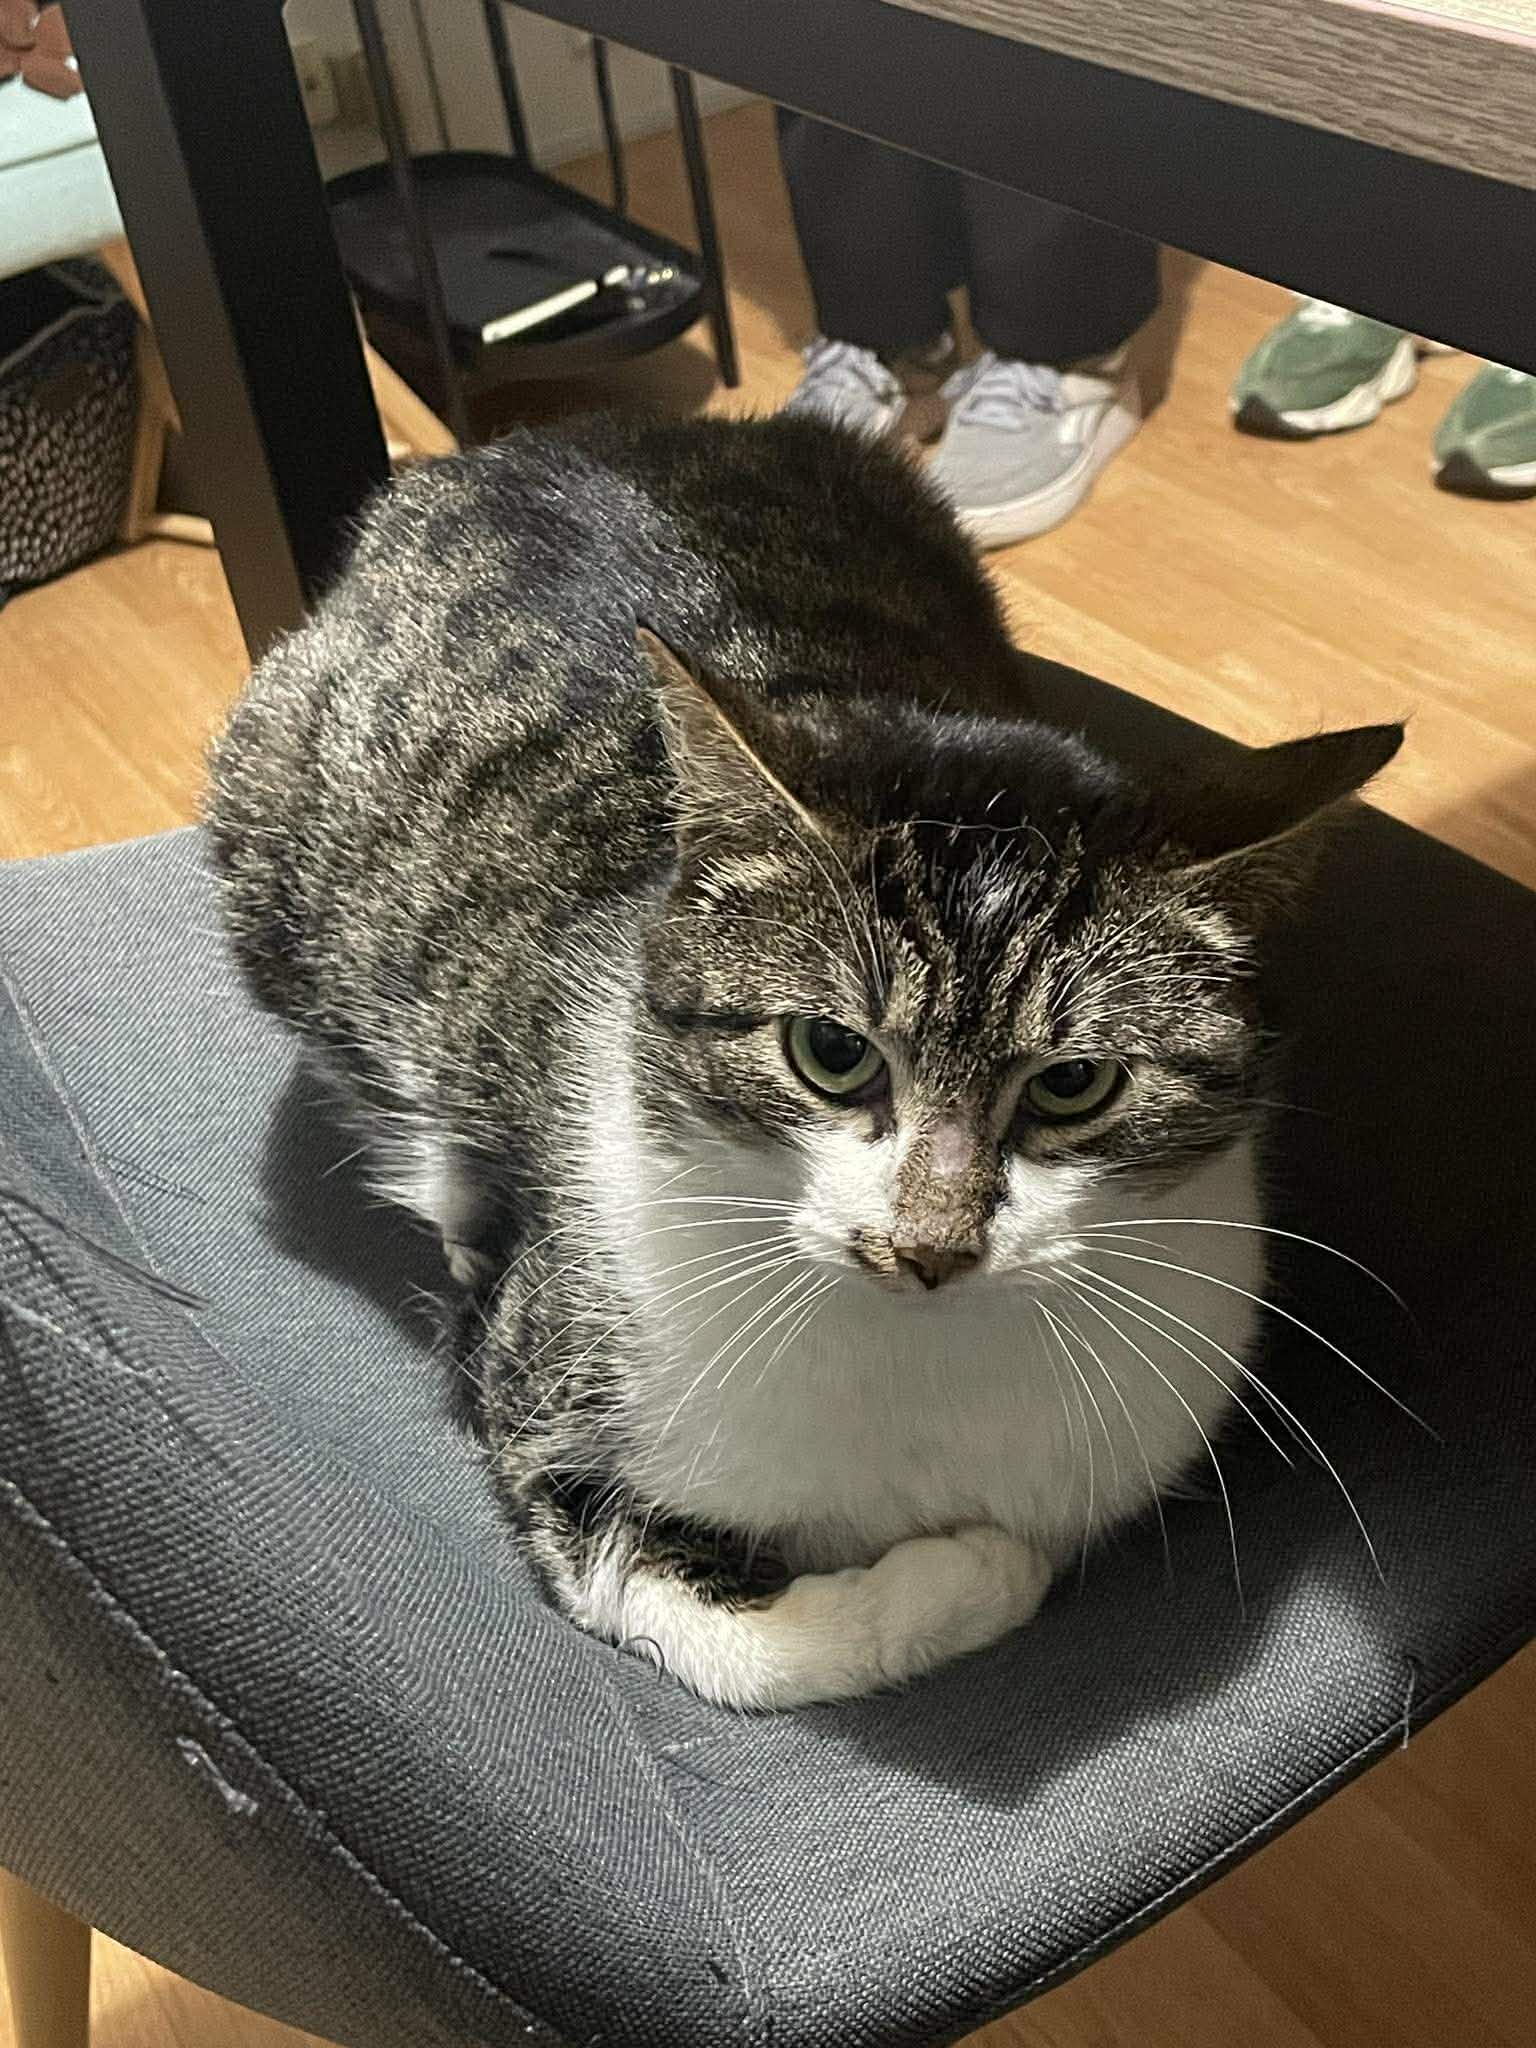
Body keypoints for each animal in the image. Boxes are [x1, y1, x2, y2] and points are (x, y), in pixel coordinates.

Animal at [207, 410, 1400, 1711]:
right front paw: (975, 1571)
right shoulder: (545, 1401)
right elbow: (727, 1633)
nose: (930, 1243)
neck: (923, 1361)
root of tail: (505, 450)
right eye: (832, 1051)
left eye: (1074, 1083)